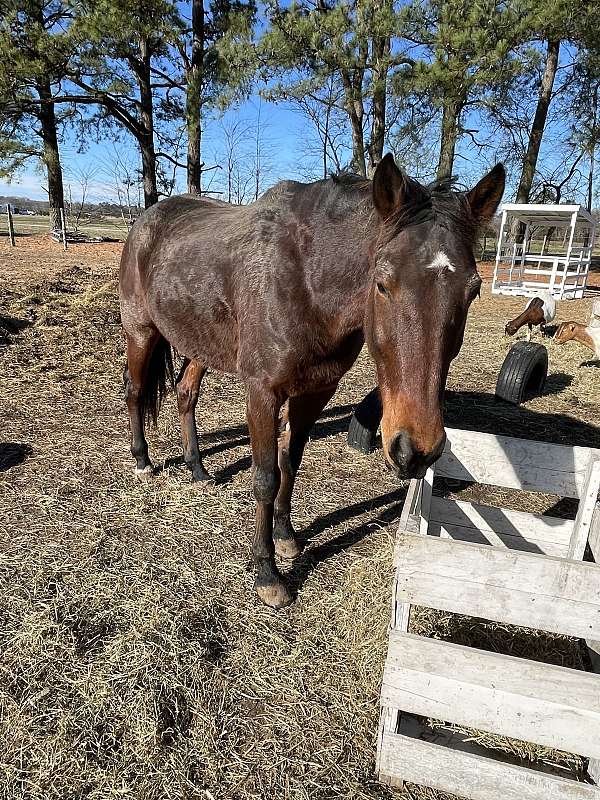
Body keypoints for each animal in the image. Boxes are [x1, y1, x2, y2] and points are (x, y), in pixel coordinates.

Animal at [119, 155, 504, 608]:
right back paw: (142, 461)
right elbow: (265, 478)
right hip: (141, 331)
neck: (306, 279)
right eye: (382, 283)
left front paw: (286, 536)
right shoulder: (262, 393)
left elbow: (292, 462)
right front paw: (267, 573)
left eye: (473, 290)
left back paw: (197, 468)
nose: (416, 449)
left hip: (200, 343)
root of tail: (147, 219)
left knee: (185, 394)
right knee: (134, 390)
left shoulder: (317, 390)